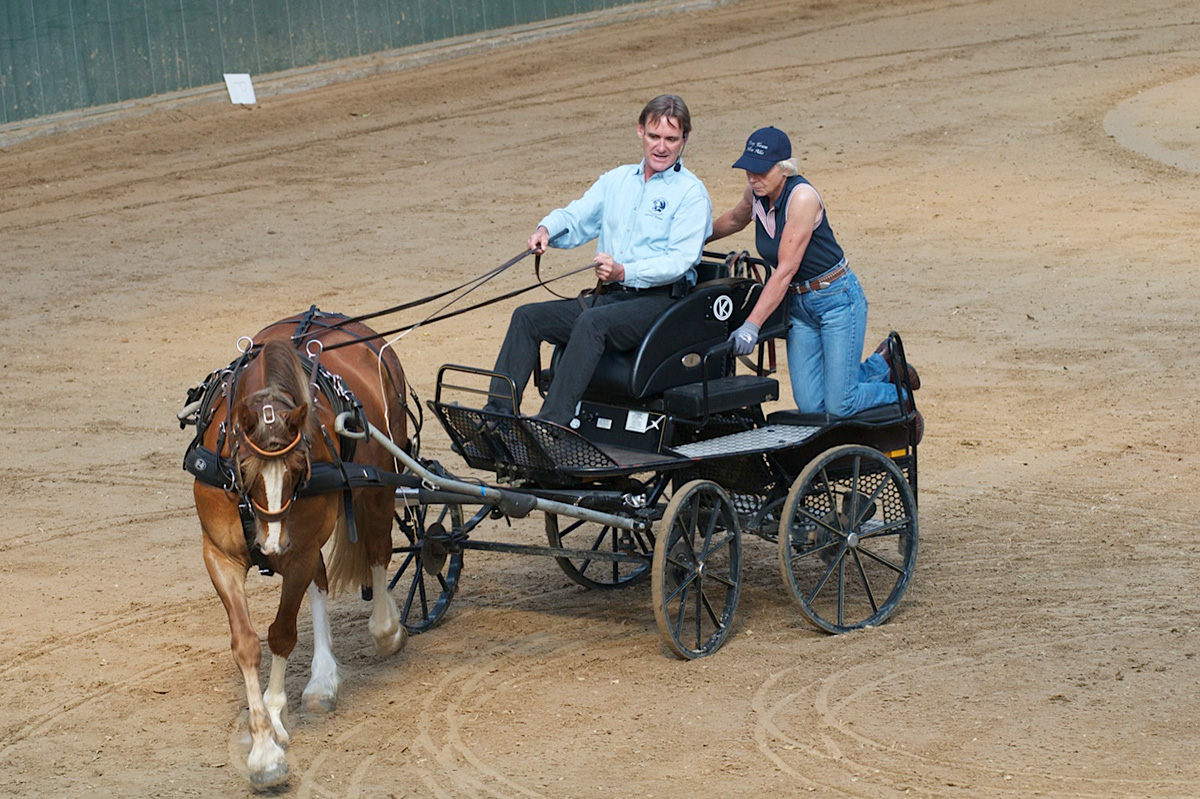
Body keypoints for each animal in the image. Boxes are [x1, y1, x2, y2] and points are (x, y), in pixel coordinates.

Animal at [189, 309, 410, 782]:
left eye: (297, 469)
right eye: (243, 468)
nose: (272, 545)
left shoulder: (301, 549)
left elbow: (282, 635)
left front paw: (273, 724)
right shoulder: (219, 555)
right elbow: (247, 644)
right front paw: (262, 746)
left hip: (380, 488)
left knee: (379, 552)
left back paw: (386, 630)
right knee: (321, 583)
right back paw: (323, 680)